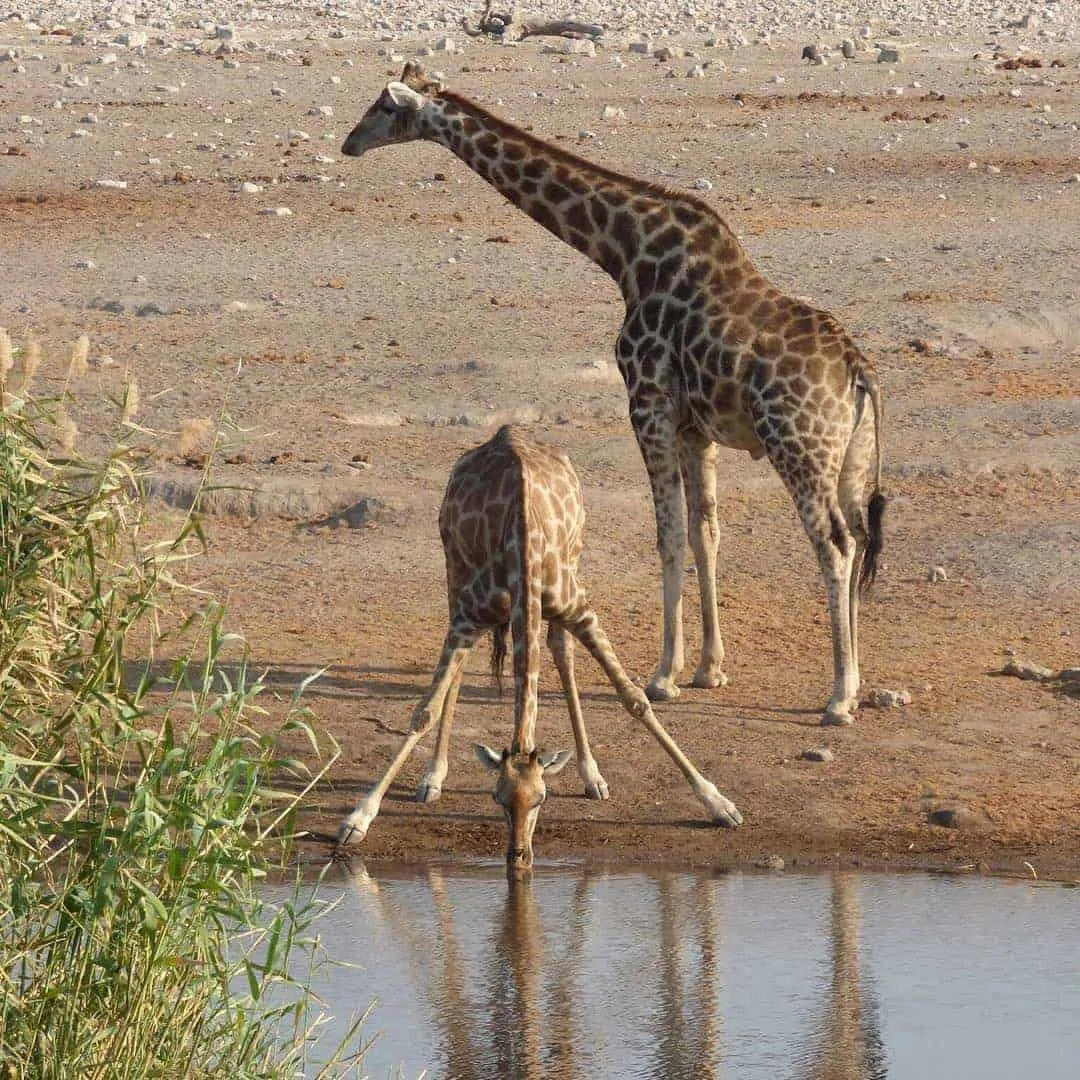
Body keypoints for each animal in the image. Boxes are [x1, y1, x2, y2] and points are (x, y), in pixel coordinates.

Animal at [336, 423, 743, 868]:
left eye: (541, 799)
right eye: (496, 798)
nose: (519, 856)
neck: (522, 547)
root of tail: (507, 430)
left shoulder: (580, 609)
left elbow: (635, 700)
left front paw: (720, 804)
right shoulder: (467, 618)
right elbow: (423, 712)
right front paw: (359, 817)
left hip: (572, 565)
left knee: (561, 651)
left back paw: (592, 775)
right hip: (454, 573)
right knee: (460, 671)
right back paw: (433, 777)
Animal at [343, 65, 885, 725]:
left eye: (383, 106)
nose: (348, 142)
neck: (624, 253)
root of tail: (858, 371)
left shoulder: (647, 404)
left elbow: (668, 534)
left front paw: (663, 675)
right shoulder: (694, 427)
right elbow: (705, 532)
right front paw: (709, 669)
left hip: (797, 448)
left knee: (834, 545)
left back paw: (839, 695)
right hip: (849, 459)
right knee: (859, 540)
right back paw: (854, 680)